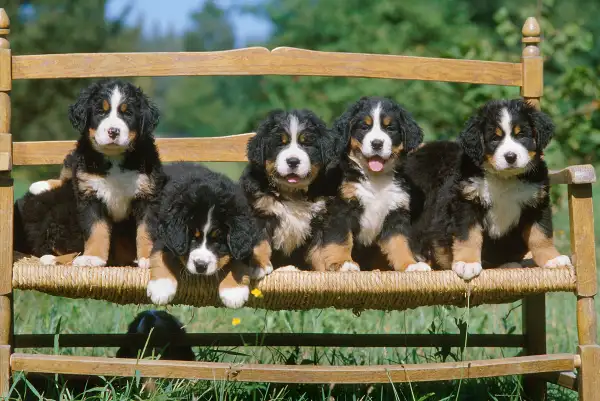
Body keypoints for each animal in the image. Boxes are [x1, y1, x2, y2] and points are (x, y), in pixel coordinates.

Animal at [24, 78, 162, 268]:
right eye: (100, 112)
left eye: (128, 113)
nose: (113, 131)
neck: (114, 158)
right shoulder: (90, 194)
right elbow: (96, 228)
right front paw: (92, 257)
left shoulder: (147, 195)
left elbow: (146, 231)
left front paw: (148, 258)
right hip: (78, 159)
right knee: (68, 170)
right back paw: (40, 185)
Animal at [145, 161, 270, 308]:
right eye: (192, 237)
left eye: (218, 240)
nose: (201, 266)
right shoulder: (166, 235)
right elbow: (160, 255)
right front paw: (161, 287)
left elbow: (238, 259)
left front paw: (233, 291)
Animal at [239, 109, 338, 270]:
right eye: (280, 143)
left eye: (306, 143)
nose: (293, 161)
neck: (292, 192)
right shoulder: (259, 211)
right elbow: (260, 243)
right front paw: (260, 265)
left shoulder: (320, 219)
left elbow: (319, 250)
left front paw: (323, 271)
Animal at [408, 98, 572, 280]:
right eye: (494, 138)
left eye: (521, 135)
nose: (510, 156)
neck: (504, 179)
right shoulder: (466, 202)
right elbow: (468, 235)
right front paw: (467, 263)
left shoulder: (537, 203)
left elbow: (541, 234)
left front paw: (552, 259)